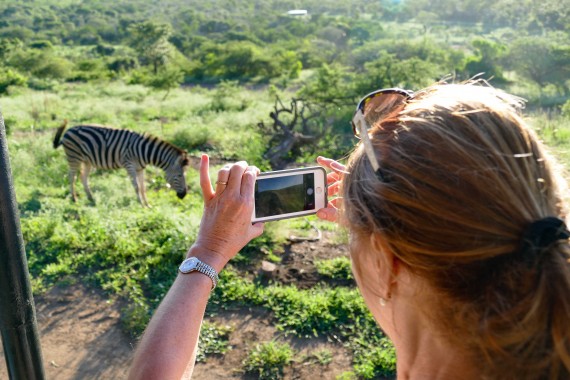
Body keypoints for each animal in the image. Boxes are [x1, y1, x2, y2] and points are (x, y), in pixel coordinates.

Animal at [52, 120, 189, 206]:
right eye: (179, 175)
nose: (184, 195)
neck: (144, 151)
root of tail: (67, 132)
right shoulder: (129, 165)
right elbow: (137, 186)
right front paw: (141, 204)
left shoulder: (140, 168)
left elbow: (143, 187)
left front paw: (148, 205)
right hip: (74, 157)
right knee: (72, 176)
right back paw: (74, 198)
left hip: (87, 160)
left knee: (83, 177)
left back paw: (91, 198)